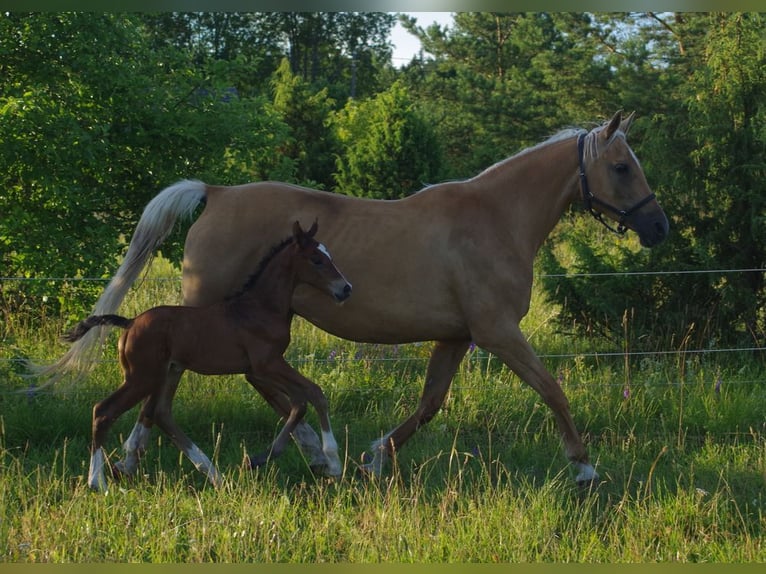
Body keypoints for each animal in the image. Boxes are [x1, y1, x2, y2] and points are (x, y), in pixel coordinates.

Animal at [62, 223, 354, 492]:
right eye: (316, 260)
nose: (346, 289)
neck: (262, 307)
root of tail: (130, 323)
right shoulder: (266, 365)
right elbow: (313, 394)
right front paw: (332, 461)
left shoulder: (260, 369)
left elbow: (300, 402)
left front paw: (257, 460)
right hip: (142, 377)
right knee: (104, 411)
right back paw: (97, 482)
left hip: (167, 372)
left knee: (160, 413)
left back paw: (215, 475)